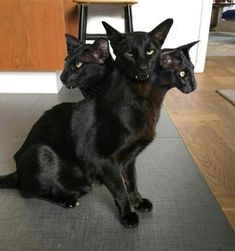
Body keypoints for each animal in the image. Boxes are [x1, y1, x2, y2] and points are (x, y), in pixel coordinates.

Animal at [0, 19, 175, 227]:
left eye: (150, 52)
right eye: (129, 53)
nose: (143, 68)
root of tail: (17, 168)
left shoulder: (130, 158)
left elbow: (132, 181)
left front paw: (138, 202)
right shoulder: (104, 160)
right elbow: (120, 189)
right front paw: (127, 215)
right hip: (41, 152)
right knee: (29, 192)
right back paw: (66, 200)